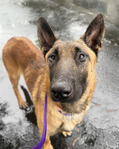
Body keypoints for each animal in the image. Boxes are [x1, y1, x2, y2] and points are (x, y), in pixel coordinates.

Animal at [2, 13, 105, 148]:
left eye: (81, 56)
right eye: (52, 57)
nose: (59, 91)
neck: (66, 111)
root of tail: (13, 39)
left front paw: (65, 131)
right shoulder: (45, 141)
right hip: (13, 75)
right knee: (15, 88)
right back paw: (21, 101)